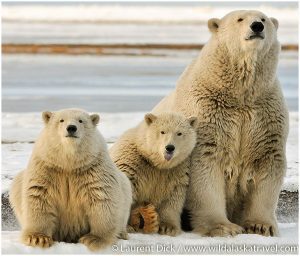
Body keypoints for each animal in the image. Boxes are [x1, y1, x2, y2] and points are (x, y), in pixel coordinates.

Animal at [9, 109, 131, 251]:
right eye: (61, 120)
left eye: (81, 120)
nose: (71, 128)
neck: (69, 164)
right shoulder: (47, 168)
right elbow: (39, 196)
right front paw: (38, 238)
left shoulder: (94, 170)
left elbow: (101, 199)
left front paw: (93, 239)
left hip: (124, 185)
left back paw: (122, 234)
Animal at [152, 10, 288, 238]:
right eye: (240, 19)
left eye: (264, 18)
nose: (257, 26)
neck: (239, 95)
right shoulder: (207, 114)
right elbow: (206, 167)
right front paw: (223, 227)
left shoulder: (264, 113)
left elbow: (267, 162)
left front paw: (261, 226)